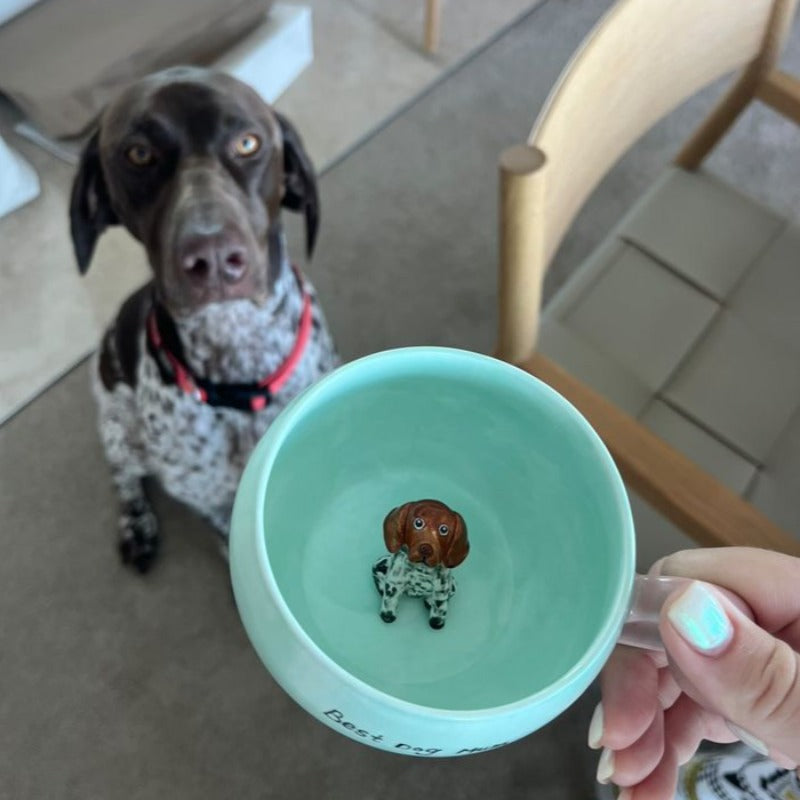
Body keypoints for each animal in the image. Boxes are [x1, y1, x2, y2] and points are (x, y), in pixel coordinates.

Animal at [70, 65, 340, 572]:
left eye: (248, 143)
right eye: (139, 154)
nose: (212, 257)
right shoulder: (208, 497)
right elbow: (226, 533)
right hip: (120, 431)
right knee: (123, 475)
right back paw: (136, 525)